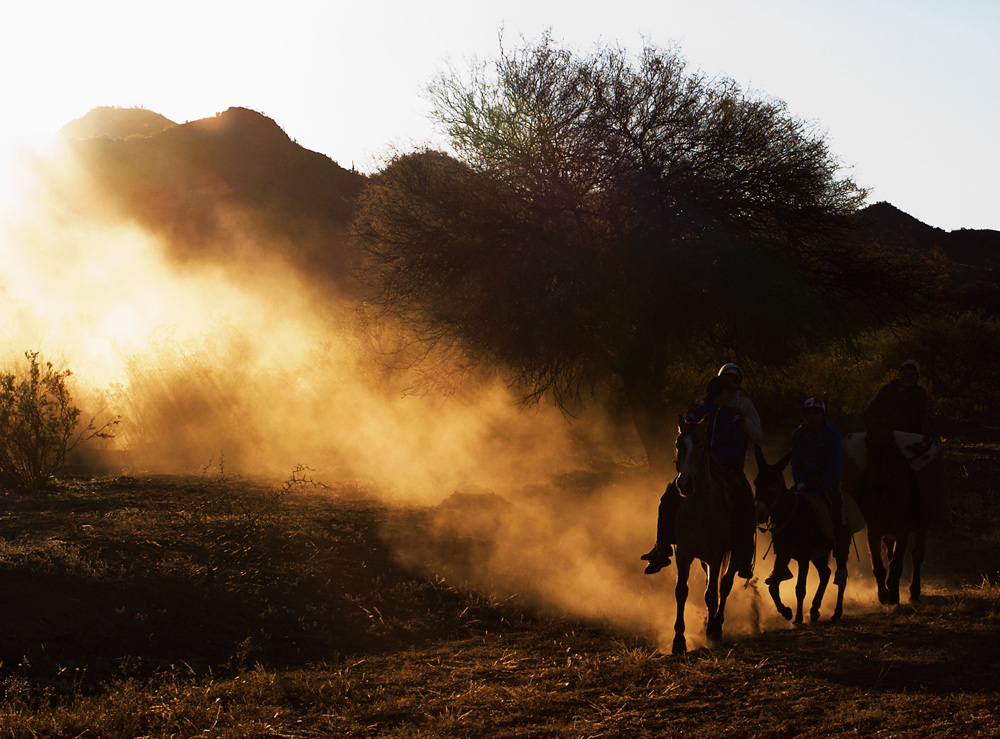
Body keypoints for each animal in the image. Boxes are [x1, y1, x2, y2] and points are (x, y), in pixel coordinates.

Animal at [668, 416, 740, 652]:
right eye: (678, 444)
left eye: (702, 445)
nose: (684, 484)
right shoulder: (683, 554)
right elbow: (681, 591)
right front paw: (679, 640)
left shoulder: (716, 556)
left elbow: (711, 594)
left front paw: (711, 633)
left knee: (724, 586)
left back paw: (717, 627)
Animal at [752, 446, 844, 624]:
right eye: (756, 483)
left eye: (774, 485)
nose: (758, 514)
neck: (790, 516)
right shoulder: (783, 555)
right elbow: (773, 587)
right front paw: (786, 612)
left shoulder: (803, 557)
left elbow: (800, 588)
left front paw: (798, 617)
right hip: (818, 555)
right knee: (825, 573)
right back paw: (814, 610)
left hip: (839, 546)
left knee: (840, 577)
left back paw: (836, 613)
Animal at [840, 428, 940, 608]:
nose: (879, 490)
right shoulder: (874, 530)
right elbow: (879, 564)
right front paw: (885, 594)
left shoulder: (902, 531)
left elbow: (896, 563)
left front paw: (893, 595)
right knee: (895, 552)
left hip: (918, 526)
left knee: (916, 554)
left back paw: (913, 592)